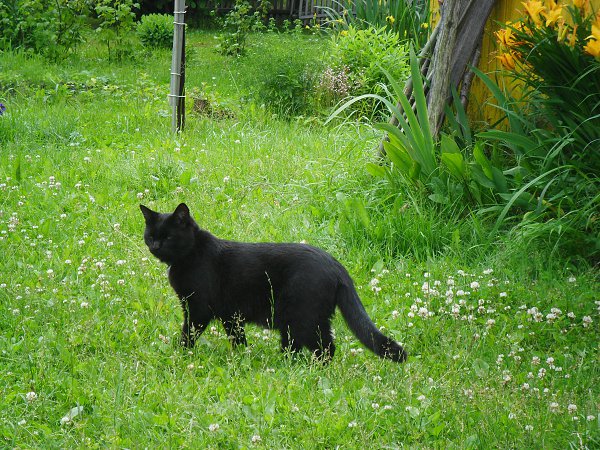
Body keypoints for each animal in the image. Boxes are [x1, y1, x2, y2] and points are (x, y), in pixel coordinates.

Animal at [140, 203, 407, 363]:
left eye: (169, 237)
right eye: (151, 236)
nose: (155, 246)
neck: (191, 254)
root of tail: (336, 265)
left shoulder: (197, 310)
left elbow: (188, 334)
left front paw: (180, 354)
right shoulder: (230, 315)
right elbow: (238, 338)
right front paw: (242, 357)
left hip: (303, 318)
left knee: (325, 348)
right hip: (301, 321)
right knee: (309, 346)